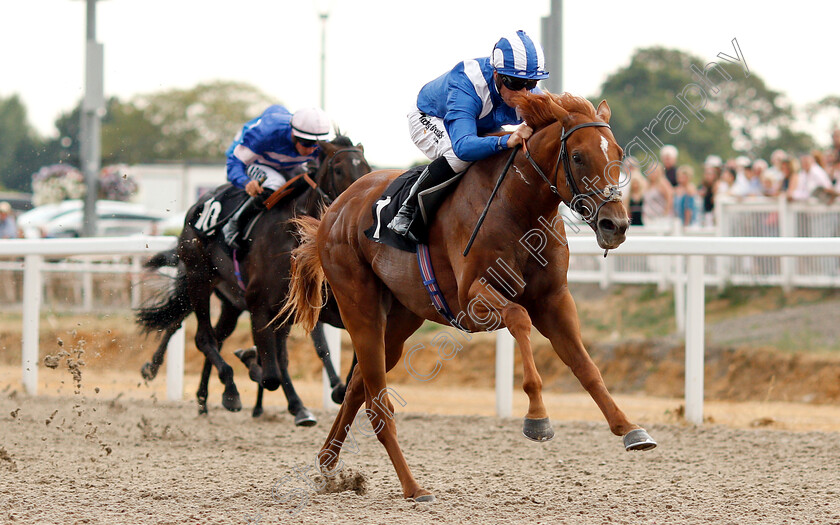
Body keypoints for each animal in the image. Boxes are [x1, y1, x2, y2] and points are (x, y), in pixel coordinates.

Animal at [136, 134, 370, 422]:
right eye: (338, 170)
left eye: (367, 168)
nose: (359, 205)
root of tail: (196, 208)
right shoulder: (261, 306)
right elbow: (272, 373)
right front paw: (251, 363)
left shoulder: (320, 308)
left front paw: (334, 392)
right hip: (198, 279)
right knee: (201, 336)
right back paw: (224, 388)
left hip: (230, 302)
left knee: (214, 336)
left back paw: (205, 398)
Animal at [282, 92, 656, 502]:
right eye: (577, 156)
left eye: (618, 153)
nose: (615, 224)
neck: (520, 206)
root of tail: (334, 212)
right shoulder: (473, 300)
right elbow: (519, 319)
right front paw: (537, 417)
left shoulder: (554, 299)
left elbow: (586, 366)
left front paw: (630, 428)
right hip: (360, 306)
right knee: (378, 405)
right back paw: (413, 487)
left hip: (400, 319)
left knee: (355, 389)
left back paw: (327, 464)